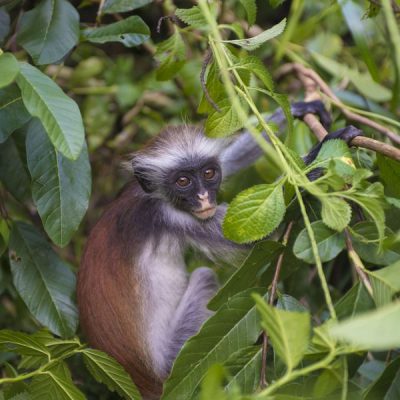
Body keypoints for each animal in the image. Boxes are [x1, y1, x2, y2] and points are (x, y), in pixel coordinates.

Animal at [77, 101, 360, 398]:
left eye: (208, 173)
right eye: (183, 182)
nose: (204, 197)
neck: (152, 197)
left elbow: (229, 162)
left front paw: (297, 110)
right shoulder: (174, 216)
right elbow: (255, 233)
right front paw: (316, 161)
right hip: (175, 357)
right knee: (204, 275)